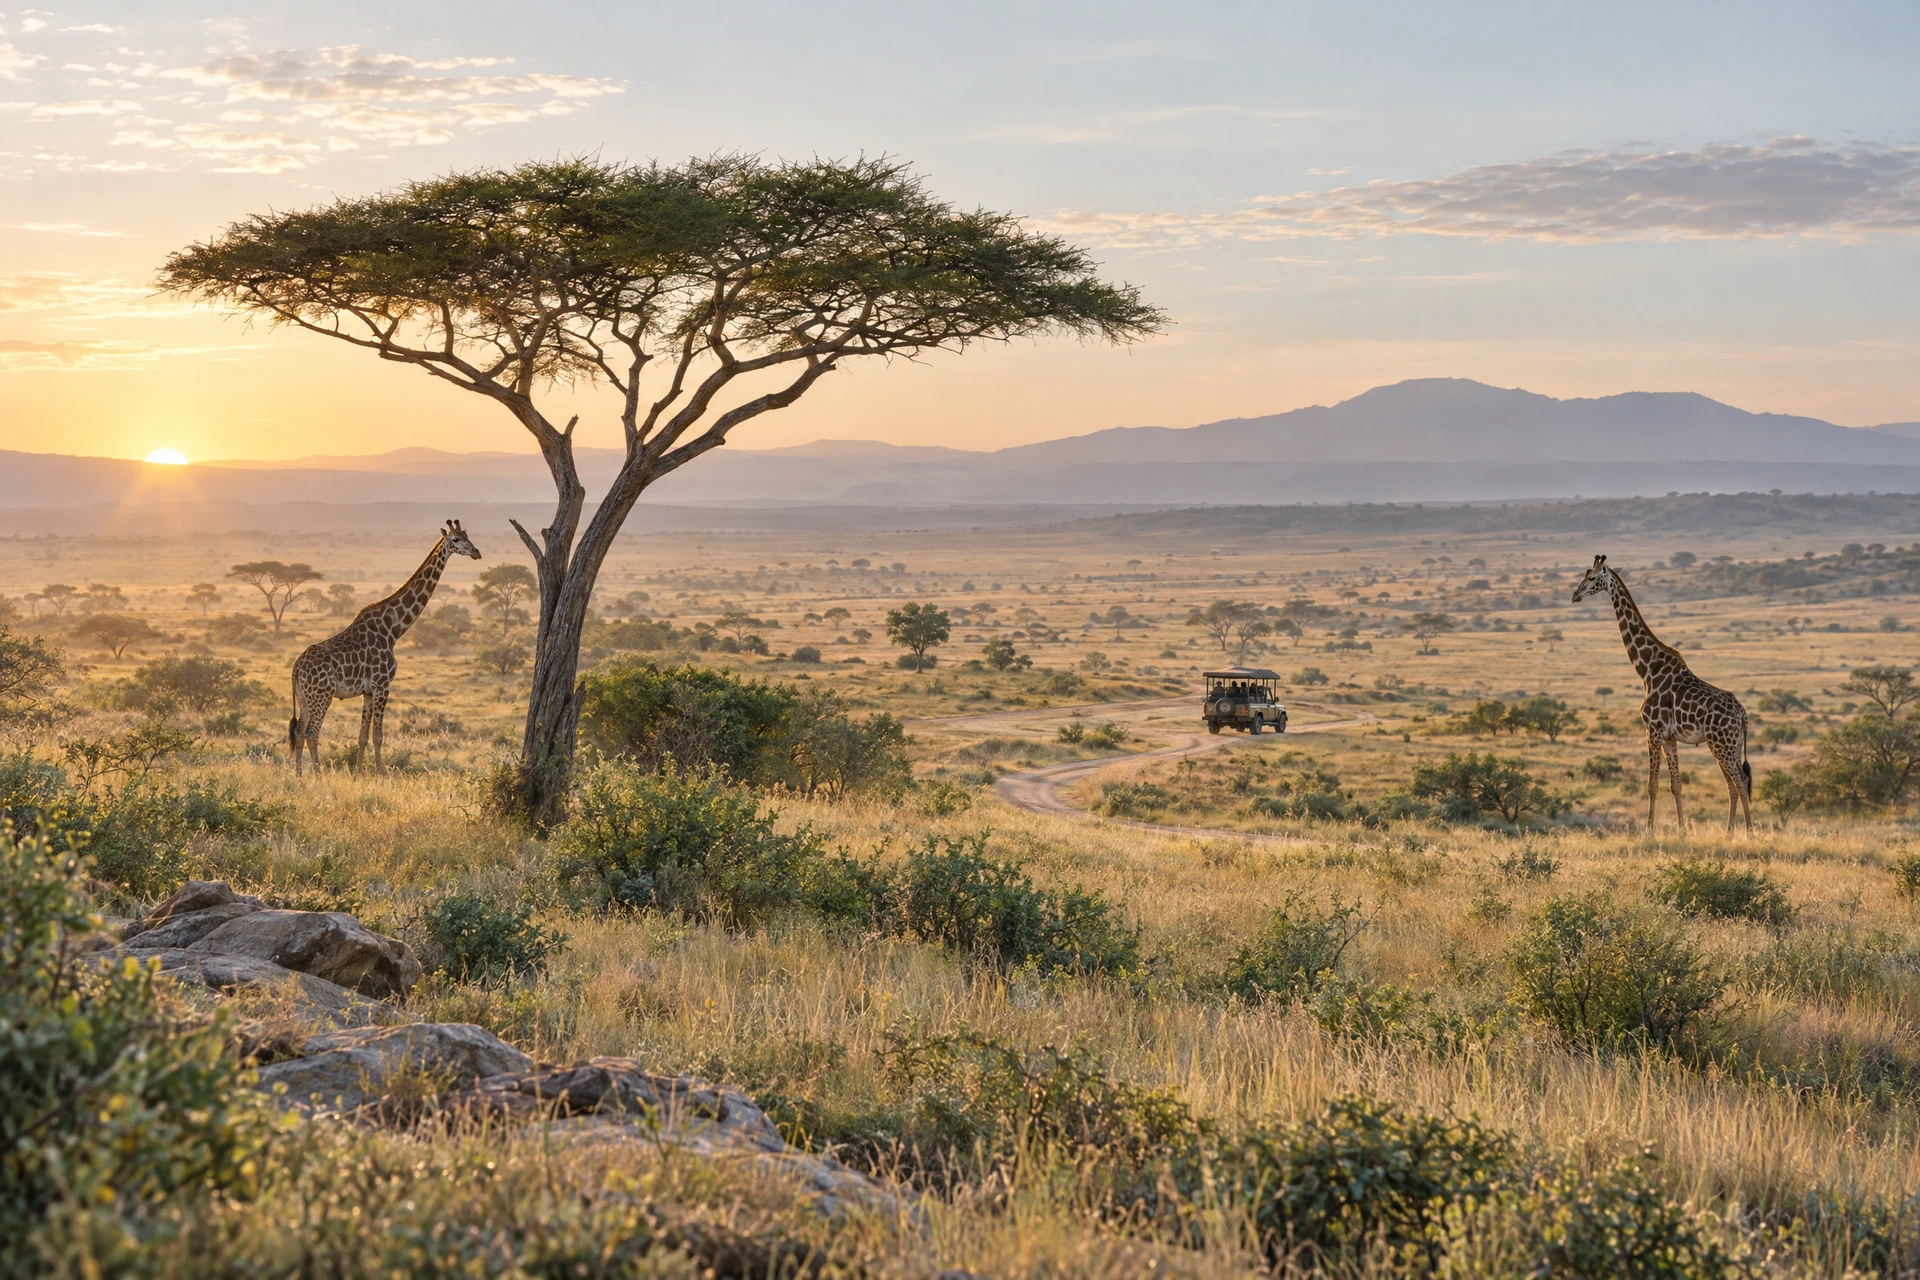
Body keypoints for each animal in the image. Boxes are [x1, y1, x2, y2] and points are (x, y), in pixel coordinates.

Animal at [289, 520, 482, 775]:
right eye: (456, 539)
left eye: (467, 535)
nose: (477, 552)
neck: (394, 628)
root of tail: (296, 668)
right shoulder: (383, 685)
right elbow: (378, 736)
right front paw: (379, 775)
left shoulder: (369, 691)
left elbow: (362, 736)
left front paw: (357, 776)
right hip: (321, 695)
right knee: (312, 732)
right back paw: (319, 777)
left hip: (304, 697)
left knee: (299, 731)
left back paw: (300, 776)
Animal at [1571, 554, 1751, 833]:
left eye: (1591, 577)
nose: (1575, 595)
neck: (1647, 669)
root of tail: (1742, 714)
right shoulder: (1669, 738)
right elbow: (1676, 785)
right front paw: (1682, 831)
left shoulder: (1652, 732)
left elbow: (1652, 785)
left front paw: (1649, 832)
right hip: (1728, 745)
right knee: (1733, 784)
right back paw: (1730, 833)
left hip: (1722, 744)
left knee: (1740, 781)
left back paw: (1749, 834)